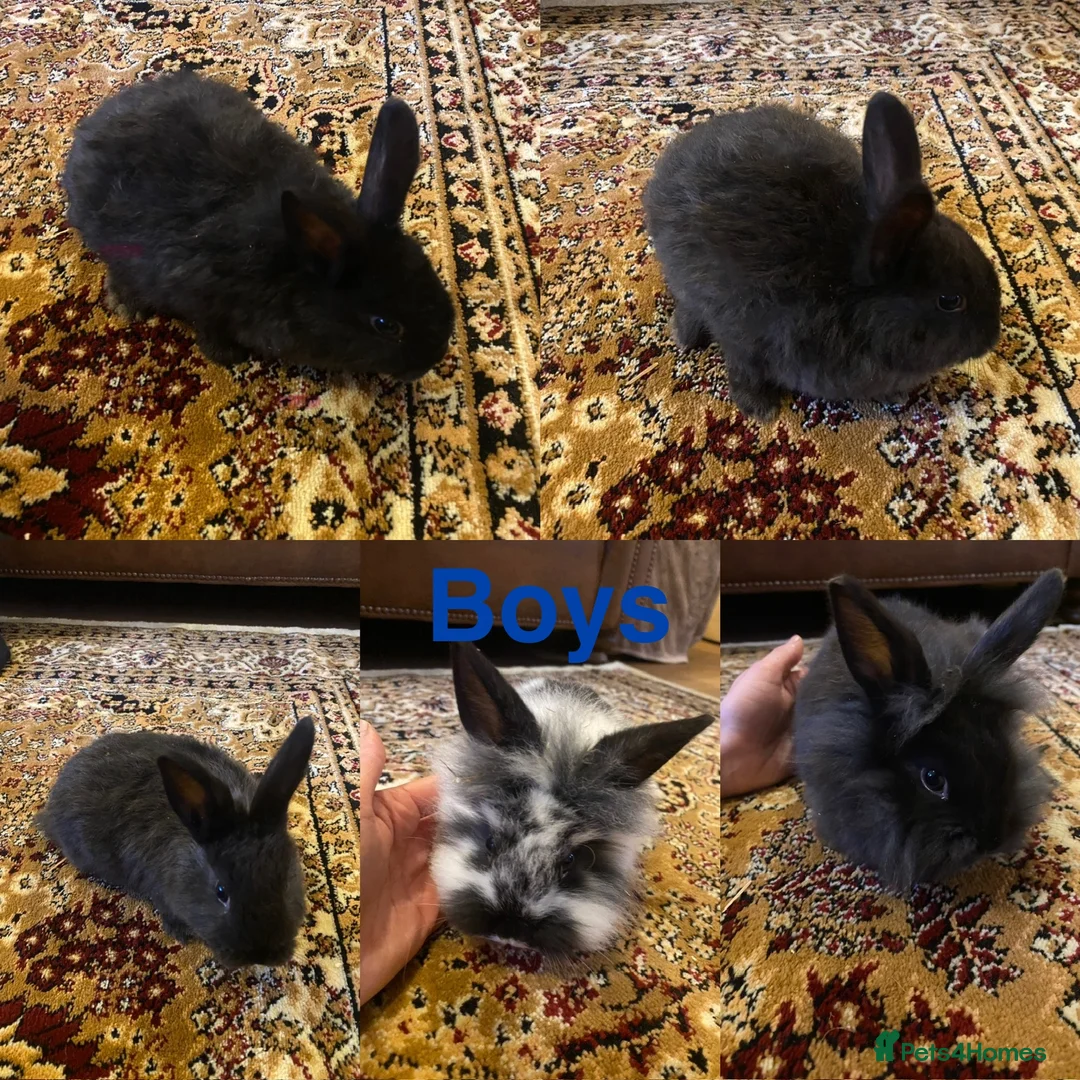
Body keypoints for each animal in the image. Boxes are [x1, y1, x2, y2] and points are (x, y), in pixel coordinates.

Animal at [642, 91, 1002, 420]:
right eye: (950, 301)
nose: (992, 339)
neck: (852, 294)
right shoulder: (744, 335)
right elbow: (745, 372)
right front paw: (759, 409)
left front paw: (896, 395)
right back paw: (684, 338)